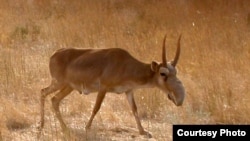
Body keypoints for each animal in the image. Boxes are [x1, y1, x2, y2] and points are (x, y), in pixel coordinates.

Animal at [39, 34, 186, 137]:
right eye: (163, 73)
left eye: (175, 72)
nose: (179, 99)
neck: (125, 65)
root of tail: (54, 54)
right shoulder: (103, 88)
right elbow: (96, 108)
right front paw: (87, 127)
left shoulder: (129, 91)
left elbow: (134, 109)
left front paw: (144, 132)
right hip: (58, 83)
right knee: (43, 92)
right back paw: (41, 125)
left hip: (68, 87)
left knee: (54, 100)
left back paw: (64, 128)